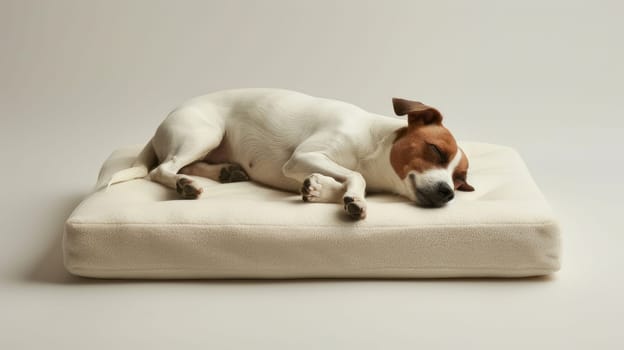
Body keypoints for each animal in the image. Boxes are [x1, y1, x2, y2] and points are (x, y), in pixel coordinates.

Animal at [108, 88, 472, 219]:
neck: (373, 144)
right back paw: (185, 185)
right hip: (204, 133)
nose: (448, 192)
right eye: (435, 150)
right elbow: (355, 175)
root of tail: (165, 120)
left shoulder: (303, 168)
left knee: (189, 165)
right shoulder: (302, 158)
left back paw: (224, 172)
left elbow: (339, 183)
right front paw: (352, 194)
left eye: (461, 180)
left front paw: (325, 191)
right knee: (162, 169)